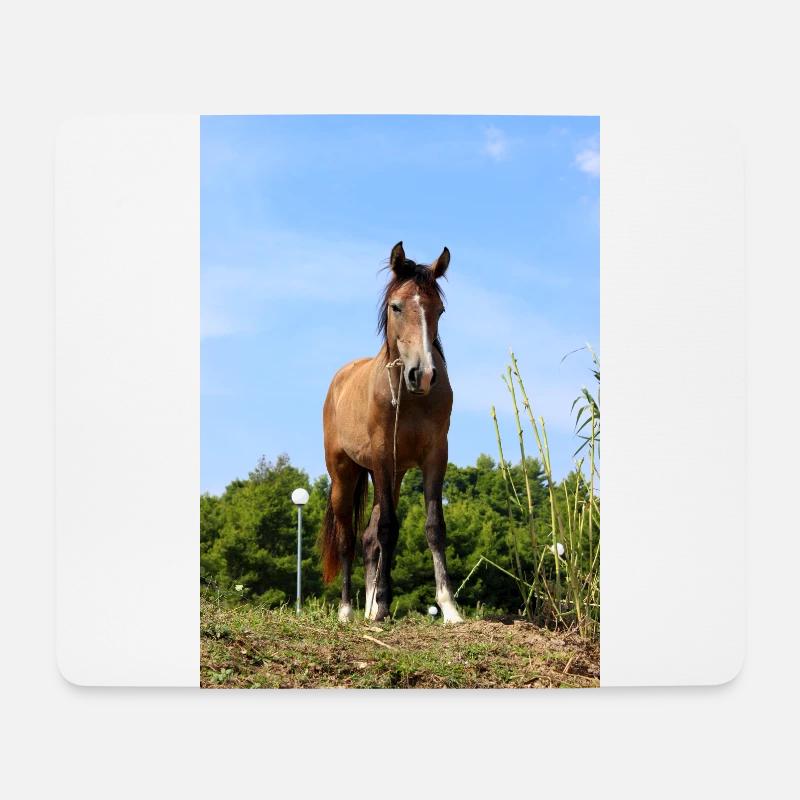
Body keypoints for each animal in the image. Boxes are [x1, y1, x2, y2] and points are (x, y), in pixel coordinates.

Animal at [319, 241, 464, 624]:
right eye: (397, 306)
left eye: (439, 309)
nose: (423, 374)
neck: (410, 398)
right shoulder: (384, 457)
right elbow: (388, 528)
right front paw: (384, 604)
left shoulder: (434, 457)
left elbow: (433, 526)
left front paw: (448, 606)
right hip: (345, 475)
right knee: (348, 539)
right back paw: (347, 610)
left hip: (392, 476)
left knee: (368, 539)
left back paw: (368, 608)